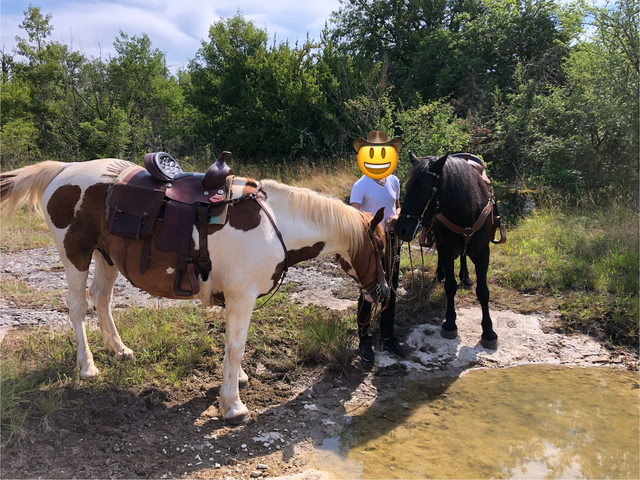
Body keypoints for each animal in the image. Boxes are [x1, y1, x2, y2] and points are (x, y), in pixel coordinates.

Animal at [0, 159, 389, 424]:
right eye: (382, 246)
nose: (383, 292)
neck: (275, 225)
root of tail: (64, 170)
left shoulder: (236, 299)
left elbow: (233, 345)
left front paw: (237, 381)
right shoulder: (242, 298)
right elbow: (236, 346)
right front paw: (232, 405)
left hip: (106, 257)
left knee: (102, 299)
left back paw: (119, 349)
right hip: (76, 257)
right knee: (78, 308)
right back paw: (88, 366)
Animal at [395, 152, 499, 349]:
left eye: (425, 187)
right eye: (407, 186)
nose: (401, 229)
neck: (465, 212)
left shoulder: (483, 254)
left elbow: (483, 291)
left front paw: (489, 332)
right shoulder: (445, 250)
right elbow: (450, 286)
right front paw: (450, 323)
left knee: (464, 256)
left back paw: (466, 277)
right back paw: (440, 274)